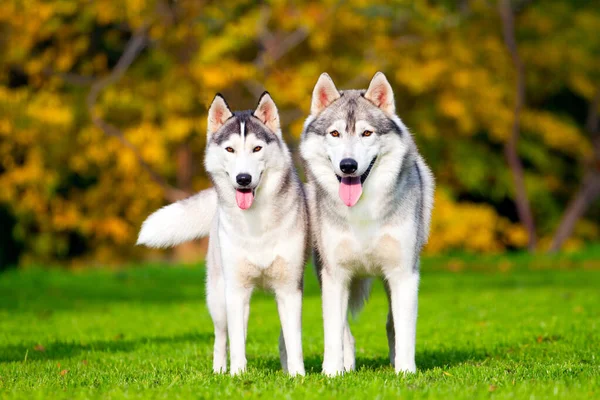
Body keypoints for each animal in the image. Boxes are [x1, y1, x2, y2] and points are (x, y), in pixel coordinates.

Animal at [138, 92, 308, 376]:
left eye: (257, 149)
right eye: (230, 149)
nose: (243, 179)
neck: (256, 223)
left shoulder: (289, 288)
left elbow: (293, 340)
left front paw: (297, 376)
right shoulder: (236, 290)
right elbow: (236, 341)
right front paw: (237, 375)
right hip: (219, 297)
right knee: (222, 336)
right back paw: (219, 370)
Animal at [300, 72, 436, 376]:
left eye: (366, 133)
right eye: (335, 134)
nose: (348, 165)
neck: (361, 211)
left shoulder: (404, 274)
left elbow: (404, 331)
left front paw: (406, 373)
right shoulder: (335, 276)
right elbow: (333, 334)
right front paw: (331, 373)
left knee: (391, 324)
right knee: (345, 332)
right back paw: (347, 367)